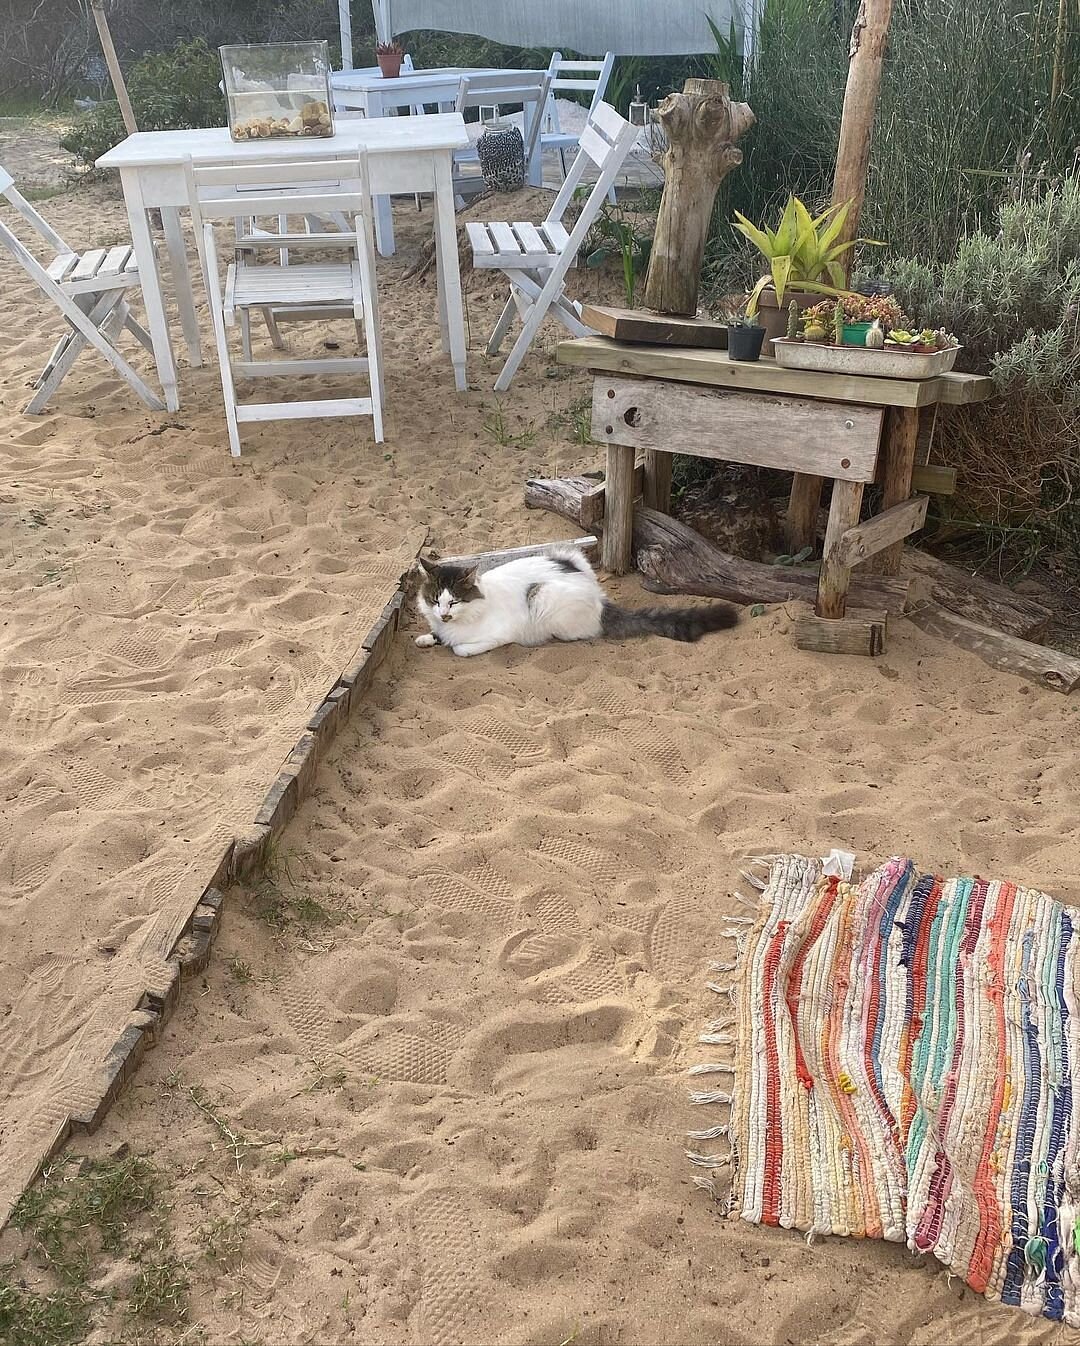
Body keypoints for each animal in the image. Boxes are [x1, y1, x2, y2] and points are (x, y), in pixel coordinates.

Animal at [409, 543, 732, 654]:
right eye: (436, 599)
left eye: (454, 601)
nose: (444, 614)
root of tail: (600, 599)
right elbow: (437, 636)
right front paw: (427, 638)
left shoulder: (498, 635)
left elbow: (459, 649)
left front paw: (448, 643)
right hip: (569, 554)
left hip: (543, 596)